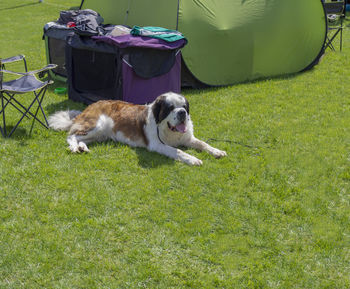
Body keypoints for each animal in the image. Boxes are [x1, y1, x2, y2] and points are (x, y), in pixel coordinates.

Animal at [47, 91, 226, 165]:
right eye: (170, 108)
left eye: (184, 107)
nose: (182, 112)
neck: (169, 130)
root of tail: (90, 105)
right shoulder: (157, 144)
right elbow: (178, 151)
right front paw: (193, 159)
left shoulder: (188, 138)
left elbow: (203, 143)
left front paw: (217, 151)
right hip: (98, 124)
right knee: (71, 135)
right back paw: (74, 147)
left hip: (101, 133)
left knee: (82, 138)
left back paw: (82, 147)